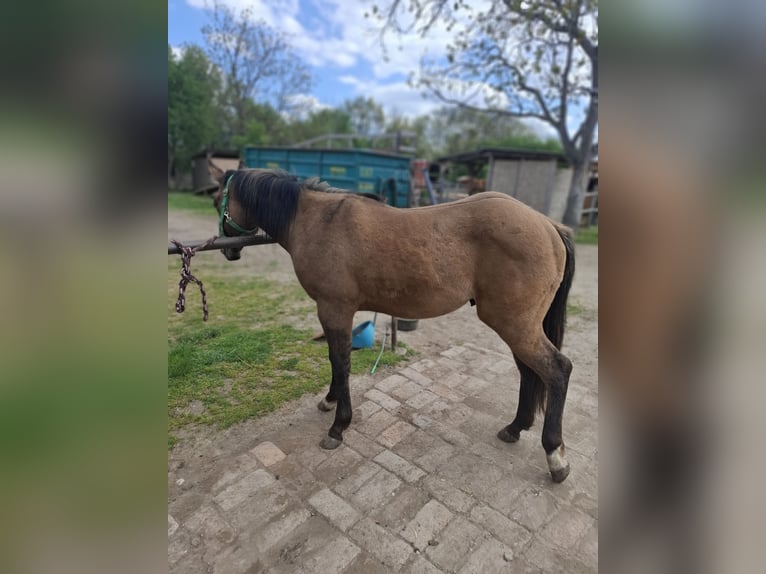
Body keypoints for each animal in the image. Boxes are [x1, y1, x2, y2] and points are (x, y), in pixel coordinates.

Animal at [209, 165, 576, 482]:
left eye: (216, 201)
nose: (228, 251)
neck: (319, 221)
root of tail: (548, 226)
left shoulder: (333, 309)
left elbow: (340, 362)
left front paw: (338, 426)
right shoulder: (334, 313)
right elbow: (335, 360)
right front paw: (330, 401)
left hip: (515, 324)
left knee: (557, 370)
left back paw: (555, 456)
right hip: (519, 326)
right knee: (530, 372)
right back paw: (515, 428)